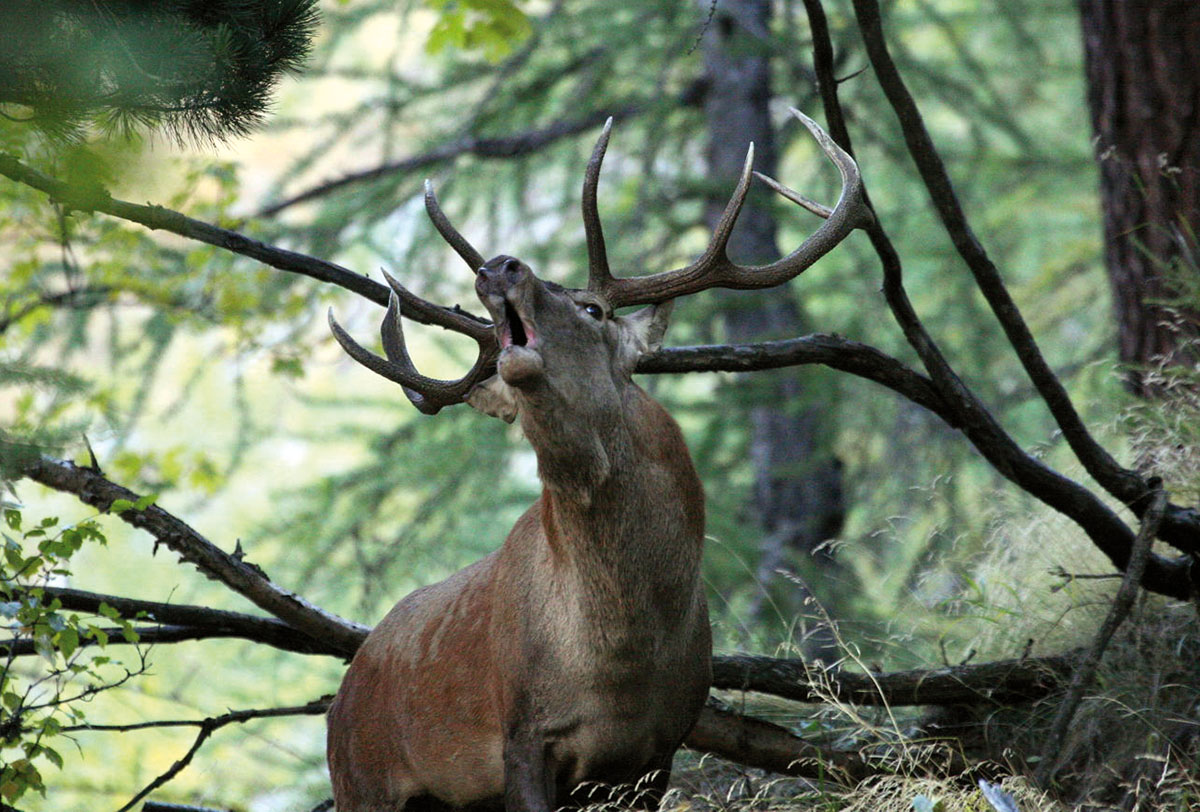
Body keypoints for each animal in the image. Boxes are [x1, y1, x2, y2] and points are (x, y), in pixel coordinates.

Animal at [321, 110, 864, 810]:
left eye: (592, 308)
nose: (499, 267)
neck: (624, 662)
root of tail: (342, 695)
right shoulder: (522, 735)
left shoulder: (662, 745)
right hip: (363, 783)